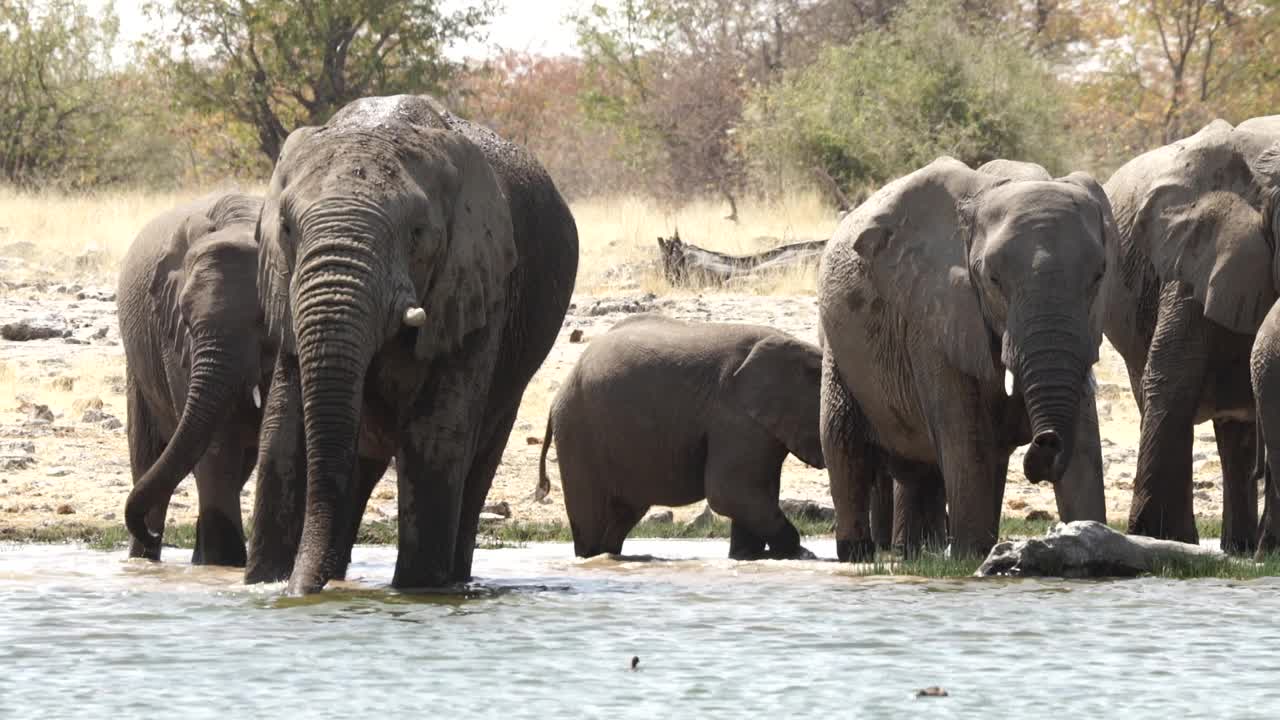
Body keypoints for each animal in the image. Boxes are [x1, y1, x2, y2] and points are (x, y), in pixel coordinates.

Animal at [117, 192, 272, 566]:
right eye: (185, 319)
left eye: (263, 320)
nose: (151, 532)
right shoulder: (173, 339)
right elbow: (216, 448)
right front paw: (224, 565)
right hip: (139, 370)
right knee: (148, 456)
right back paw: (146, 558)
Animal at [243, 92, 581, 591]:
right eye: (286, 227)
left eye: (418, 234)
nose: (297, 590)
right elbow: (283, 432)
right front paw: (263, 583)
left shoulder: (478, 285)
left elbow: (434, 436)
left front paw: (417, 592)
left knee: (477, 463)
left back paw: (453, 581)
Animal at [532, 315, 824, 561]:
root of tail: (557, 396)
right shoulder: (735, 418)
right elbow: (729, 492)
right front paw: (802, 556)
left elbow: (747, 494)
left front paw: (748, 558)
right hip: (579, 433)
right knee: (593, 517)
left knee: (623, 514)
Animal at [819, 155, 1111, 561]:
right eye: (992, 280)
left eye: (1099, 276)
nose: (1046, 441)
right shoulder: (933, 315)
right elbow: (966, 437)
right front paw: (970, 557)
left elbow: (1084, 440)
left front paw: (1092, 541)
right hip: (838, 349)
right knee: (843, 442)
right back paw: (859, 554)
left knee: (924, 471)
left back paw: (919, 554)